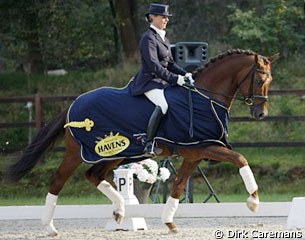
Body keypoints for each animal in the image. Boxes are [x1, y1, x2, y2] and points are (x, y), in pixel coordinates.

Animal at [2, 49, 278, 236]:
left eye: (270, 81)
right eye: (258, 80)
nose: (261, 114)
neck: (205, 97)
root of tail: (74, 102)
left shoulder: (193, 155)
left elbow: (178, 186)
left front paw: (169, 222)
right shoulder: (204, 147)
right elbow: (240, 159)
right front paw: (254, 201)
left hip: (115, 155)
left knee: (93, 176)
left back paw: (120, 211)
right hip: (79, 152)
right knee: (58, 180)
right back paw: (50, 227)